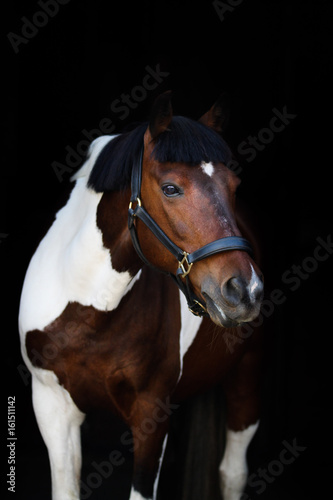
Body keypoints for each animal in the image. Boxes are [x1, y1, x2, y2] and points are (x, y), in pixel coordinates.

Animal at [18, 94, 264, 500]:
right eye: (170, 188)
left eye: (233, 185)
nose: (246, 291)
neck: (89, 310)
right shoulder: (51, 406)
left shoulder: (152, 415)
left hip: (246, 373)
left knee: (232, 473)